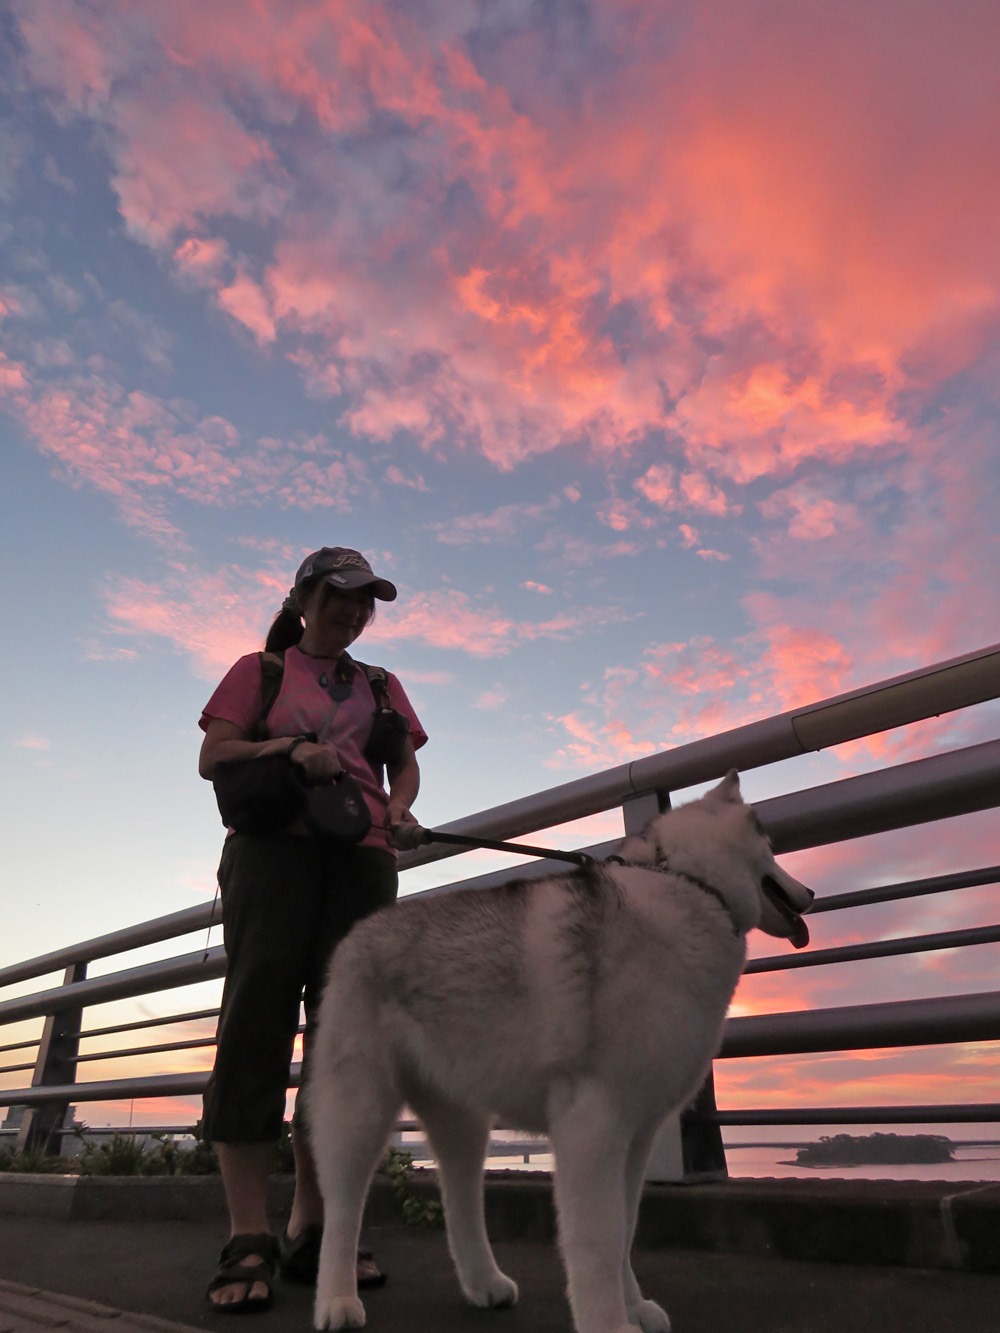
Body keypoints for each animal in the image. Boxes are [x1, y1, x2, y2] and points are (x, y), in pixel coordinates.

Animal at [312, 773, 816, 1333]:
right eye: (769, 840)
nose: (812, 894)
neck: (688, 885)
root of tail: (360, 931)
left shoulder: (638, 1132)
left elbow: (625, 1228)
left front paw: (634, 1306)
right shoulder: (592, 1125)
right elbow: (600, 1239)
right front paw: (610, 1322)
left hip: (463, 1116)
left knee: (460, 1194)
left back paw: (484, 1282)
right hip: (359, 1109)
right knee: (344, 1205)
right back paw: (337, 1299)